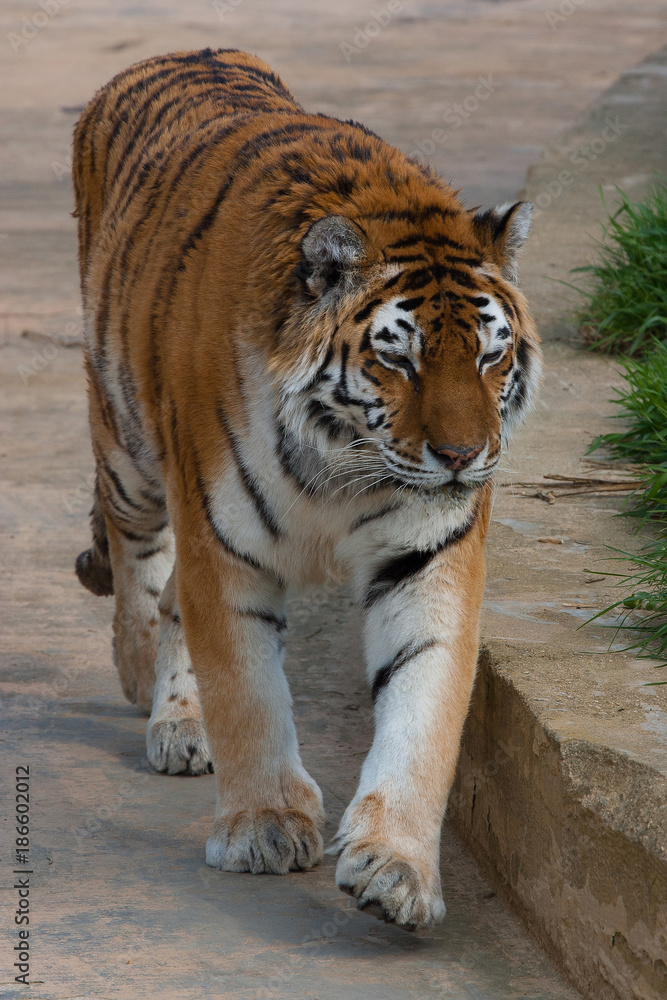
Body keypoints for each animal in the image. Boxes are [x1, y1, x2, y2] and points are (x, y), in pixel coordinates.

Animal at [72, 48, 541, 930]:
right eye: (400, 358)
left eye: (490, 355)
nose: (463, 456)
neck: (343, 461)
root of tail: (180, 52)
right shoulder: (221, 542)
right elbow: (246, 688)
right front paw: (261, 825)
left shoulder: (429, 554)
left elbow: (423, 707)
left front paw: (396, 868)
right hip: (128, 451)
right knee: (140, 567)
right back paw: (151, 686)